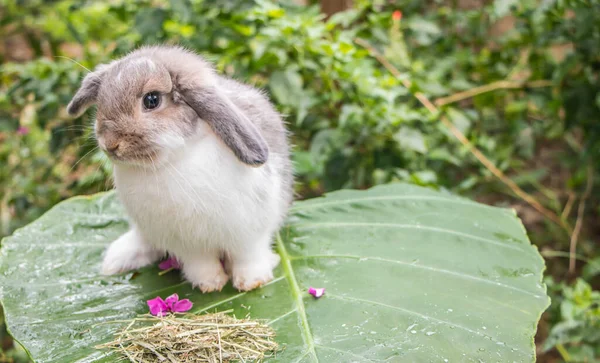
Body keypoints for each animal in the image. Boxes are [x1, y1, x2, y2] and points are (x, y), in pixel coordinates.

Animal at [67, 47, 294, 294]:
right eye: (101, 100)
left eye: (152, 100)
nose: (110, 144)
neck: (170, 163)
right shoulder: (186, 244)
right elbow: (201, 264)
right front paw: (210, 284)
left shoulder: (249, 232)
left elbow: (248, 257)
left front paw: (252, 282)